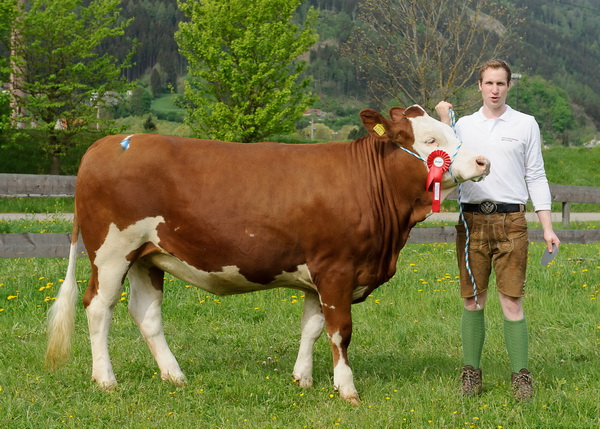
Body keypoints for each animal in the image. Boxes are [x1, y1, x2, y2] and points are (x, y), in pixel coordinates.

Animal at [45, 105, 488, 402]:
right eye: (430, 140)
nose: (482, 160)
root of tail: (108, 142)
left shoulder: (316, 273)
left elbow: (312, 327)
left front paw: (303, 378)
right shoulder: (337, 269)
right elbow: (340, 330)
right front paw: (346, 388)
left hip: (148, 254)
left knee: (146, 313)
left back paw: (174, 376)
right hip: (111, 251)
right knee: (98, 306)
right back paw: (106, 379)